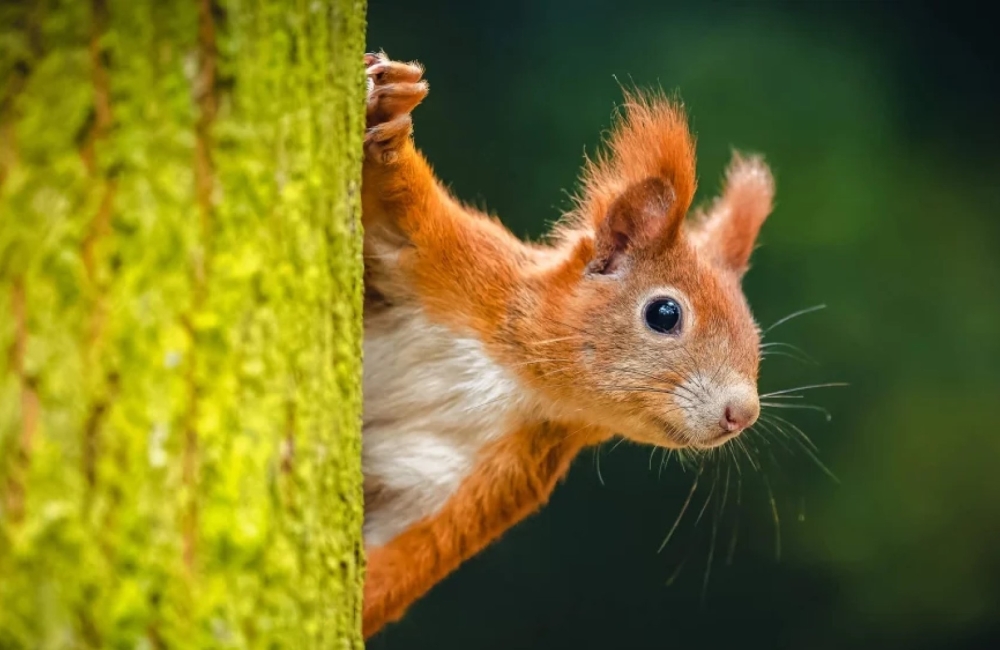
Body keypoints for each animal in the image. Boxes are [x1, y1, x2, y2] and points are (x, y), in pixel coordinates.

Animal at [360, 52, 772, 636]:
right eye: (664, 314)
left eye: (756, 338)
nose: (744, 412)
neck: (515, 377)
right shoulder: (457, 264)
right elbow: (402, 206)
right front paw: (392, 117)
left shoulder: (487, 477)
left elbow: (401, 556)